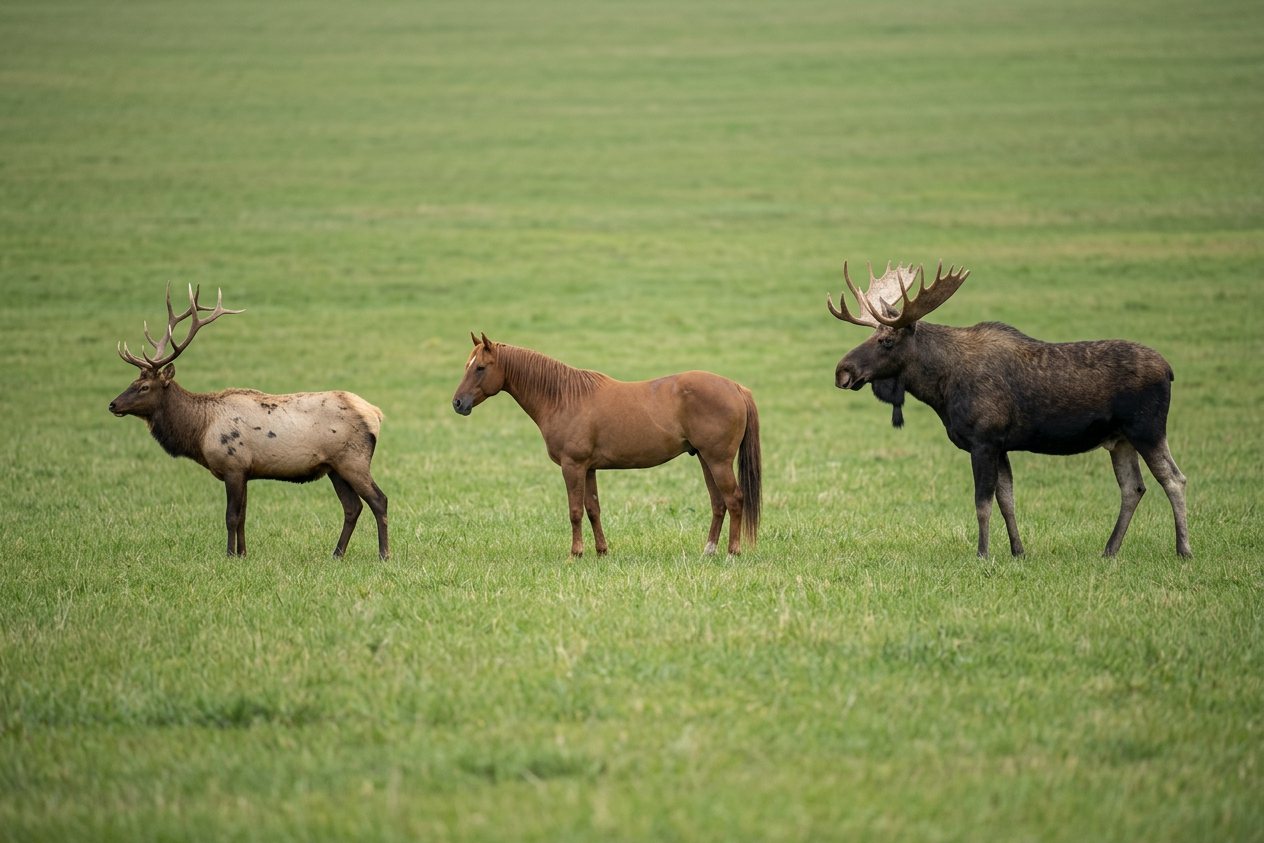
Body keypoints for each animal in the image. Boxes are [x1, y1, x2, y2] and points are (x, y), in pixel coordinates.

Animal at [109, 284, 389, 559]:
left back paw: (383, 554)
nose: (112, 404)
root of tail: (375, 413)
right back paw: (337, 554)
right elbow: (243, 516)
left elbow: (231, 517)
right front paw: (243, 553)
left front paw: (229, 555)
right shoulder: (245, 471)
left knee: (379, 500)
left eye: (144, 387)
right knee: (352, 507)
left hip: (353, 460)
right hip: (334, 467)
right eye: (132, 382)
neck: (200, 431)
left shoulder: (232, 465)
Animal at [452, 333, 761, 557]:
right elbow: (593, 509)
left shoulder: (572, 466)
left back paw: (732, 553)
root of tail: (736, 388)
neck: (563, 397)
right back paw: (708, 551)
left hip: (718, 461)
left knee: (735, 499)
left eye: (480, 368)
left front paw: (575, 553)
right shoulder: (589, 468)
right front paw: (601, 551)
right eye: (467, 366)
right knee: (718, 502)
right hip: (705, 460)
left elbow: (575, 511)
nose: (458, 403)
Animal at [828, 261, 1190, 558]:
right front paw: (1018, 551)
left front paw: (982, 553)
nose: (842, 371)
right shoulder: (1001, 445)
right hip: (1119, 439)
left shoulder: (984, 440)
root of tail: (1170, 370)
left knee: (1174, 479)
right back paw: (1110, 549)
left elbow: (983, 504)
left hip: (1147, 429)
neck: (941, 389)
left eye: (886, 341)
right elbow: (1007, 500)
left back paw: (1183, 550)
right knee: (1133, 487)